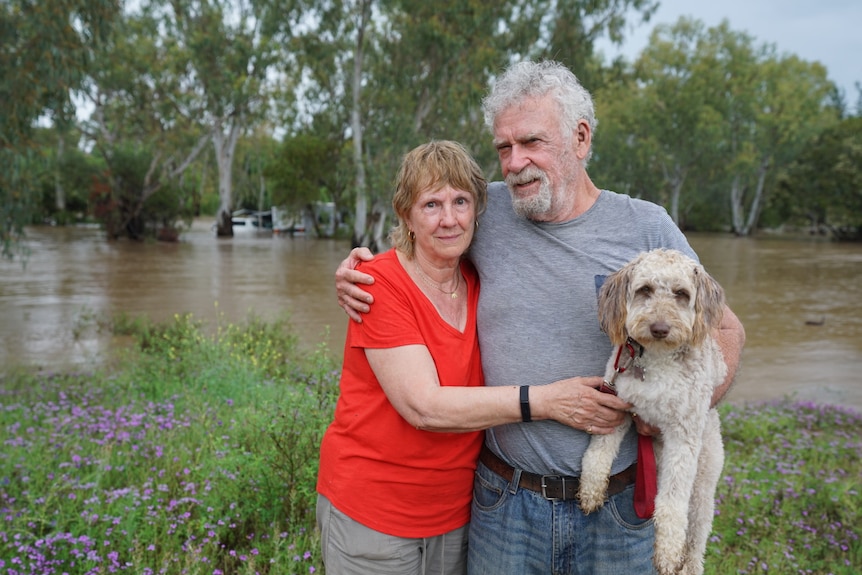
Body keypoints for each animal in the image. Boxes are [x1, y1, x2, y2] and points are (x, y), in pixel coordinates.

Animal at [580, 249, 728, 575]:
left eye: (681, 294)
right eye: (645, 289)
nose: (659, 328)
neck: (657, 362)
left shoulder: (682, 435)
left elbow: (672, 502)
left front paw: (668, 552)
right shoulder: (617, 406)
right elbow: (597, 453)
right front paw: (590, 491)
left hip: (702, 489)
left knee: (695, 543)